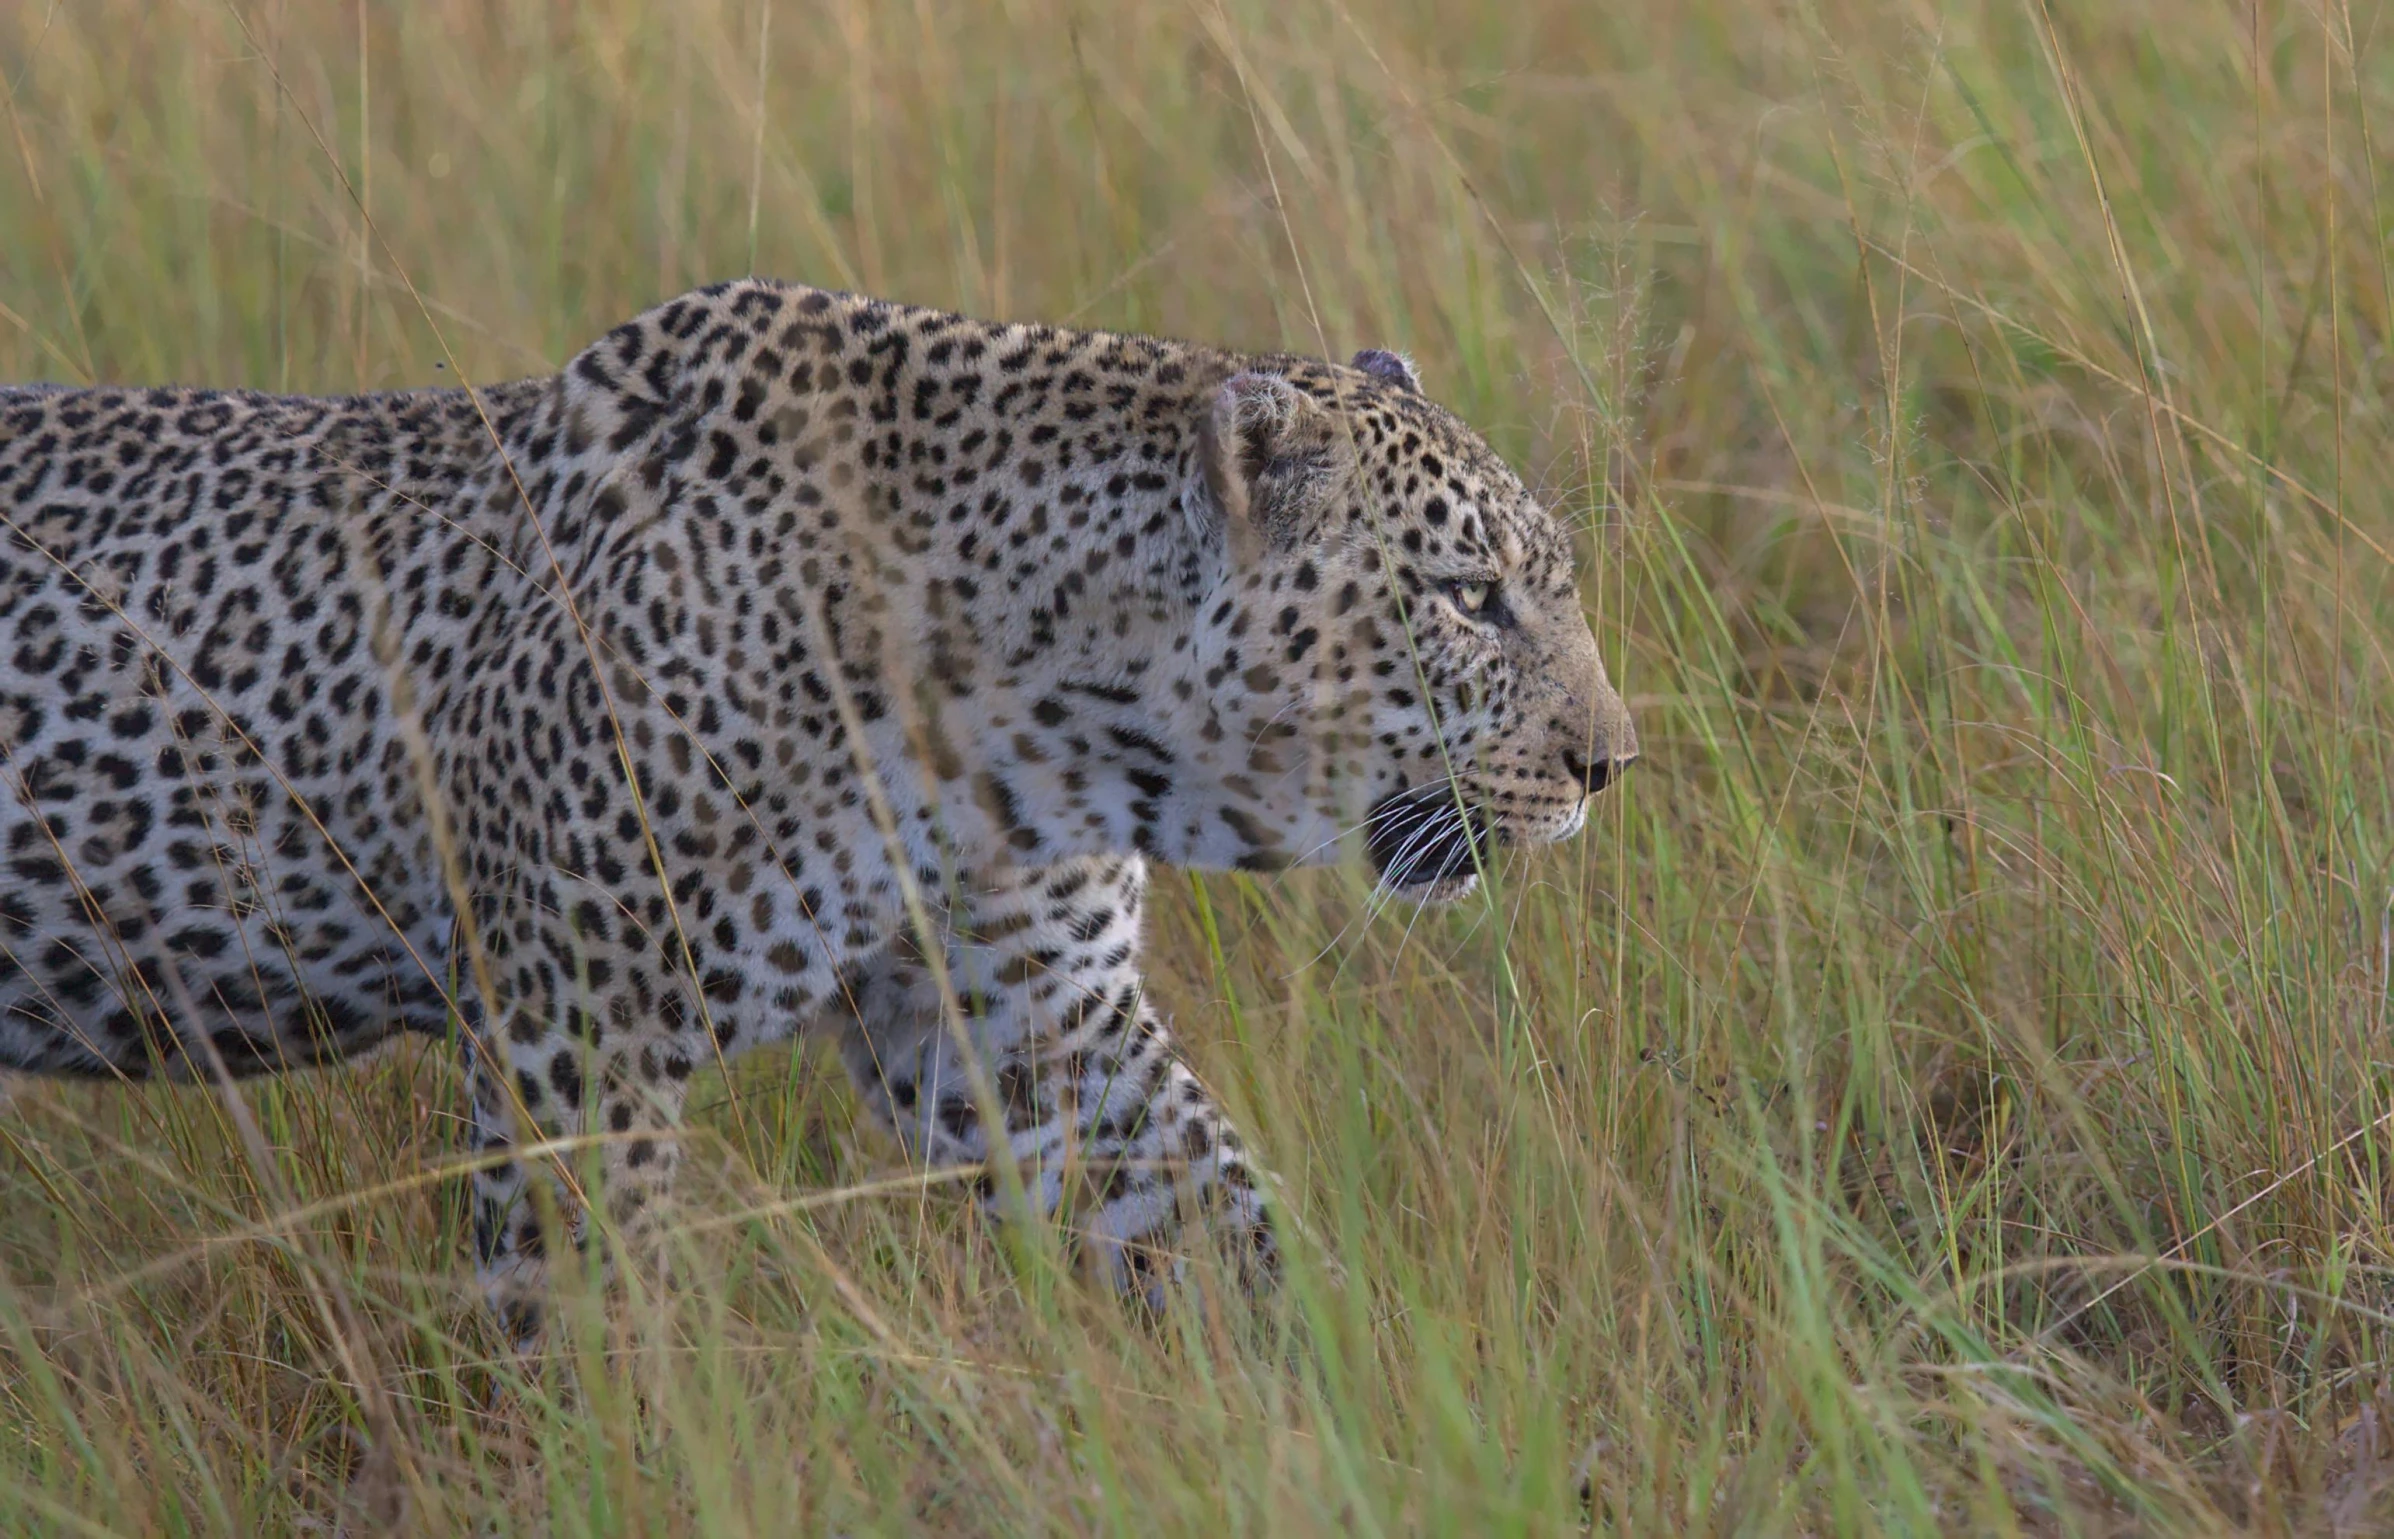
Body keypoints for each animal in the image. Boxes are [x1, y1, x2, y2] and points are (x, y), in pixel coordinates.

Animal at [0, 282, 1627, 1340]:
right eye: (1466, 597)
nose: (1610, 763)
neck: (1037, 706)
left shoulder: (1041, 1017)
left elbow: (1230, 1229)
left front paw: (1384, 1410)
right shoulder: (572, 1038)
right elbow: (590, 1333)